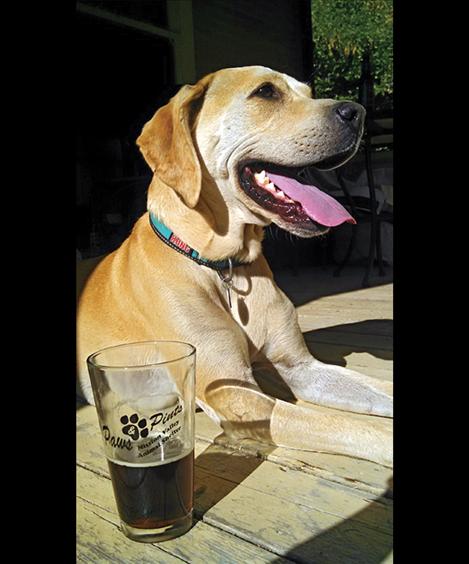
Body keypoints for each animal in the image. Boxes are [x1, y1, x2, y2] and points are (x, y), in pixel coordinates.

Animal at [77, 65, 392, 468]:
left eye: (308, 92)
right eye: (266, 92)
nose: (358, 112)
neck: (223, 266)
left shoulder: (300, 368)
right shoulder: (231, 391)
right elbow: (346, 426)